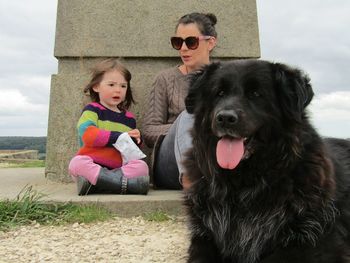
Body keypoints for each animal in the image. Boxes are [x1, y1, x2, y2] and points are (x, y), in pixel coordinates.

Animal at [183, 59, 350, 263]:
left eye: (256, 94)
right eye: (219, 93)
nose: (225, 118)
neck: (243, 185)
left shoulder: (319, 242)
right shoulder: (204, 237)